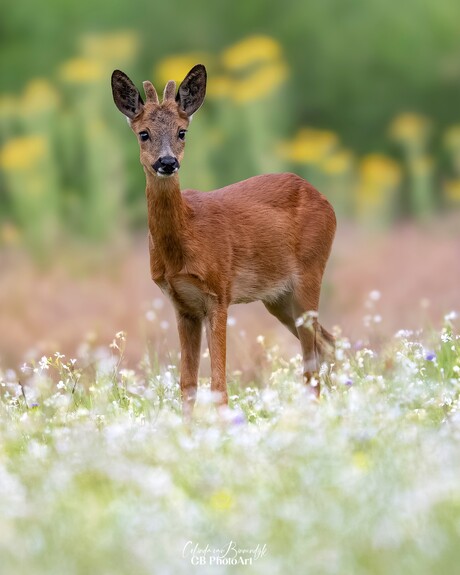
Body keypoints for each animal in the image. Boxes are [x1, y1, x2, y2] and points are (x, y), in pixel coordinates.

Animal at [110, 64, 336, 418]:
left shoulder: (219, 292)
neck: (184, 242)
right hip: (277, 297)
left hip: (311, 272)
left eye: (182, 132)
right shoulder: (182, 304)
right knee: (329, 343)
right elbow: (188, 383)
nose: (167, 163)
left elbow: (218, 385)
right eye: (143, 133)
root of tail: (326, 201)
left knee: (312, 359)